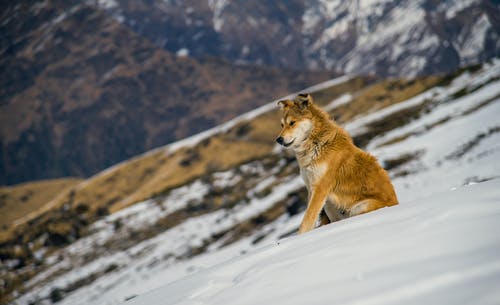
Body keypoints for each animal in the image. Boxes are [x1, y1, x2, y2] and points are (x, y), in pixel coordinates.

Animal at [276, 92, 396, 233]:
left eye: (292, 123)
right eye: (282, 125)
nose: (278, 139)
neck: (317, 143)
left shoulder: (320, 188)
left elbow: (307, 219)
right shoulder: (312, 188)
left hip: (359, 207)